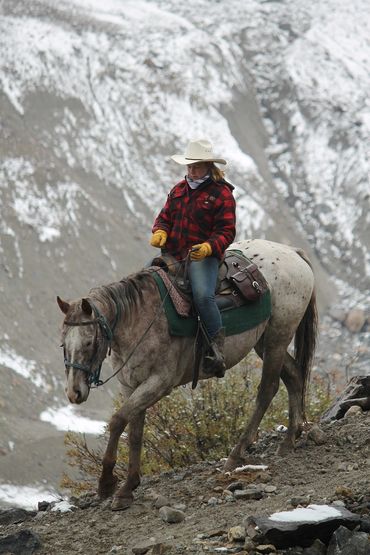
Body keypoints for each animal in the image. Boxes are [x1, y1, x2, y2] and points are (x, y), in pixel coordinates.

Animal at [57, 239, 318, 512]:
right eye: (63, 343)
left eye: (89, 342)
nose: (74, 393)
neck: (139, 318)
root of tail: (292, 252)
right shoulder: (132, 385)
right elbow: (135, 431)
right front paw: (128, 488)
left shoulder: (159, 383)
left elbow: (118, 421)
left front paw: (107, 483)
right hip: (265, 340)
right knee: (294, 376)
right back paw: (290, 438)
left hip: (278, 336)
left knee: (268, 389)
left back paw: (237, 454)